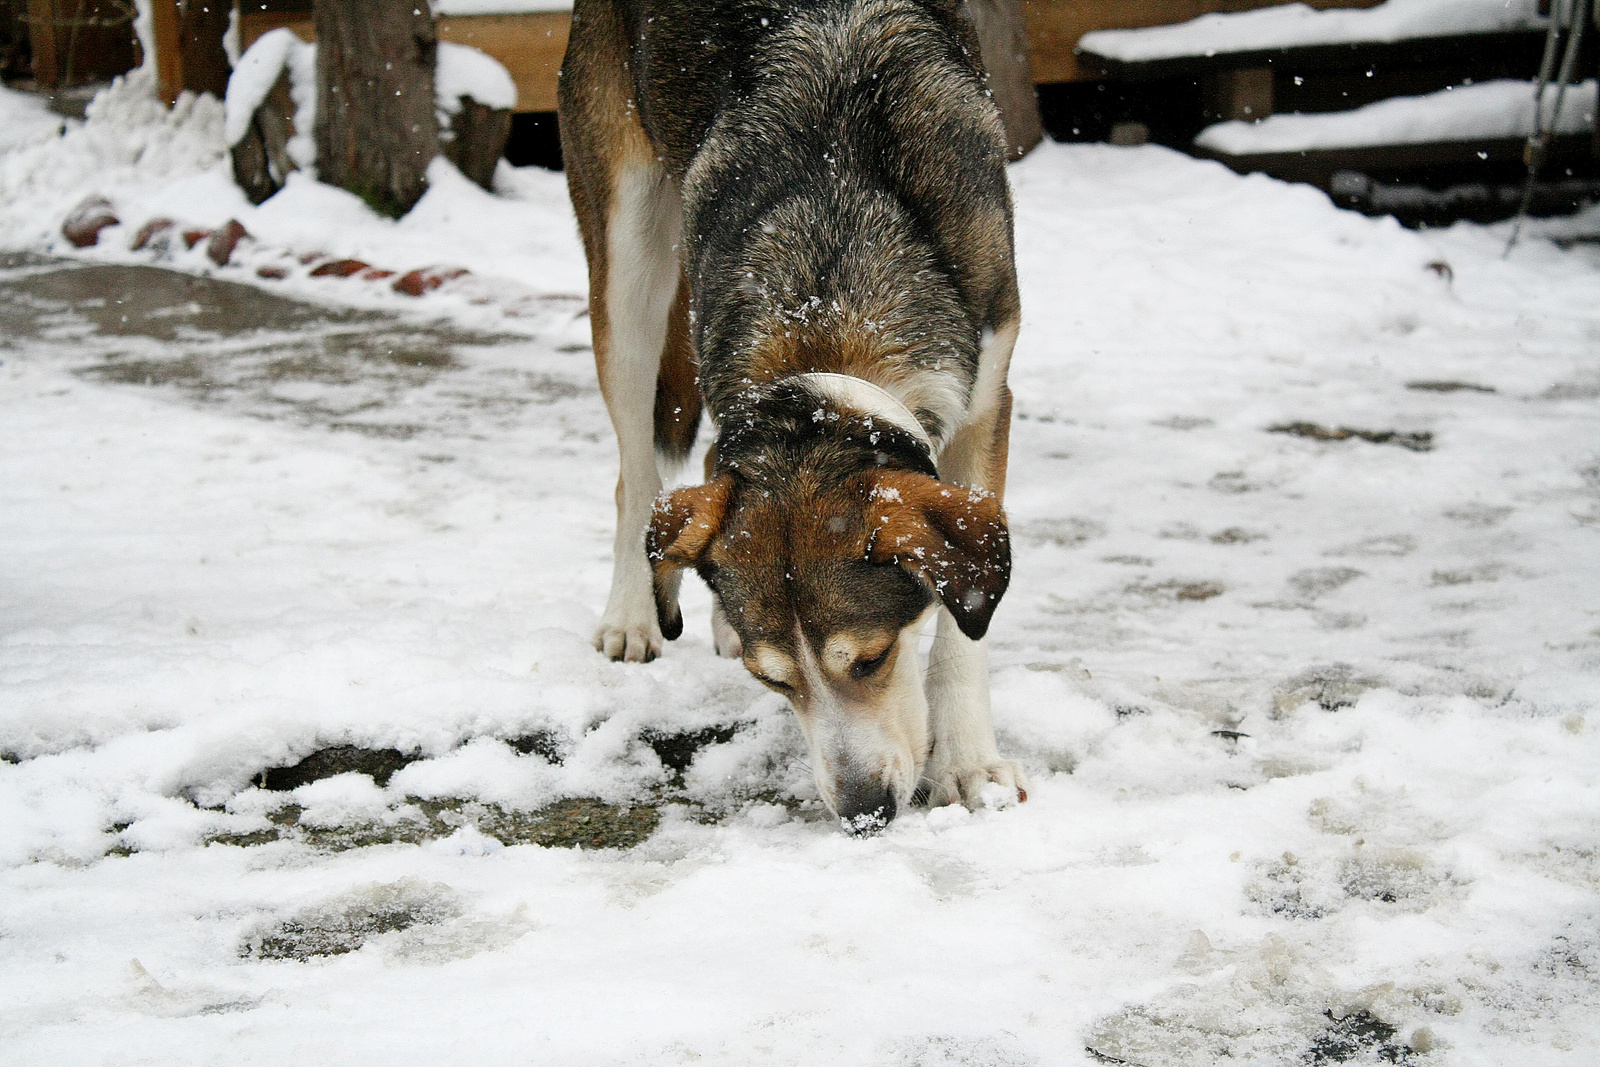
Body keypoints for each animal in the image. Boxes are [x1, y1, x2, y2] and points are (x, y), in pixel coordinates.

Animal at [556, 0, 1024, 831]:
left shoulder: (987, 393)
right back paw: (634, 611)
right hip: (627, 254)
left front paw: (969, 762)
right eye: (774, 681)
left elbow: (963, 633)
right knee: (636, 475)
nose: (864, 812)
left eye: (871, 658)